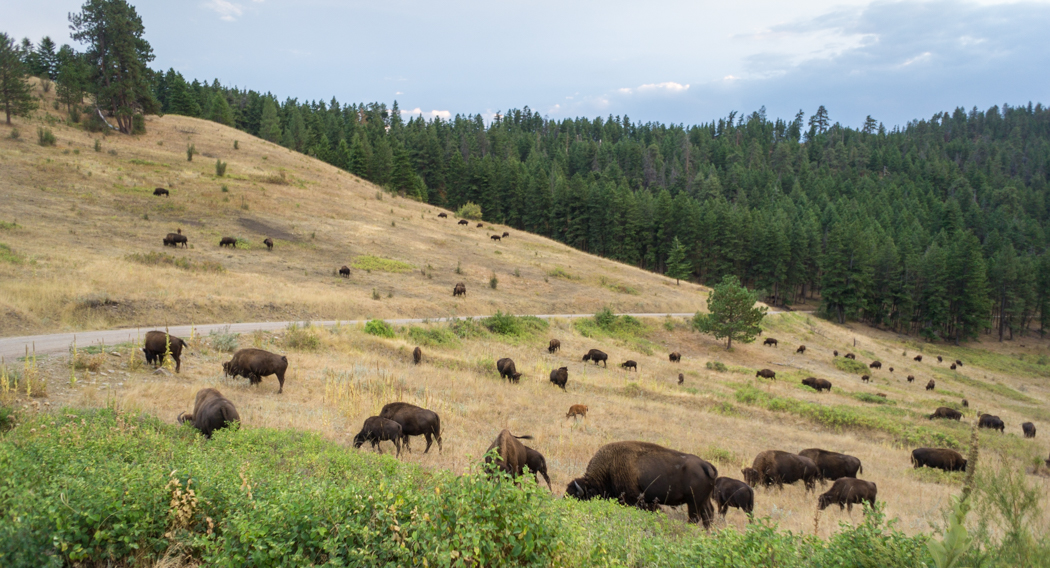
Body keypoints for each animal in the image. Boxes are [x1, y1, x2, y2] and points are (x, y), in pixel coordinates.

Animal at [567, 438, 722, 527]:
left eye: (577, 497)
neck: (610, 467)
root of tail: (706, 465)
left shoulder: (637, 499)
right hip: (703, 501)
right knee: (708, 516)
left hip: (693, 502)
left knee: (695, 518)